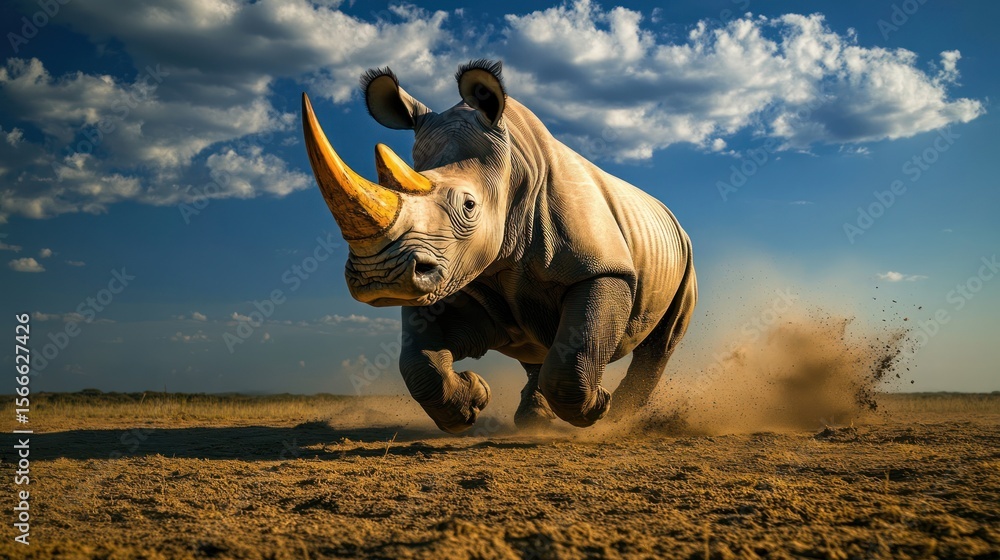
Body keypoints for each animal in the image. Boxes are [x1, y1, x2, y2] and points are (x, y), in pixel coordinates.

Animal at [301, 59, 697, 433]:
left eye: (468, 206)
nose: (379, 277)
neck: (515, 169)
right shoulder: (455, 275)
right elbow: (419, 363)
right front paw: (473, 397)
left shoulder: (603, 269)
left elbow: (577, 350)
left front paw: (599, 405)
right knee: (539, 347)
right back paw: (534, 421)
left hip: (684, 252)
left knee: (659, 343)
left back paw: (620, 419)